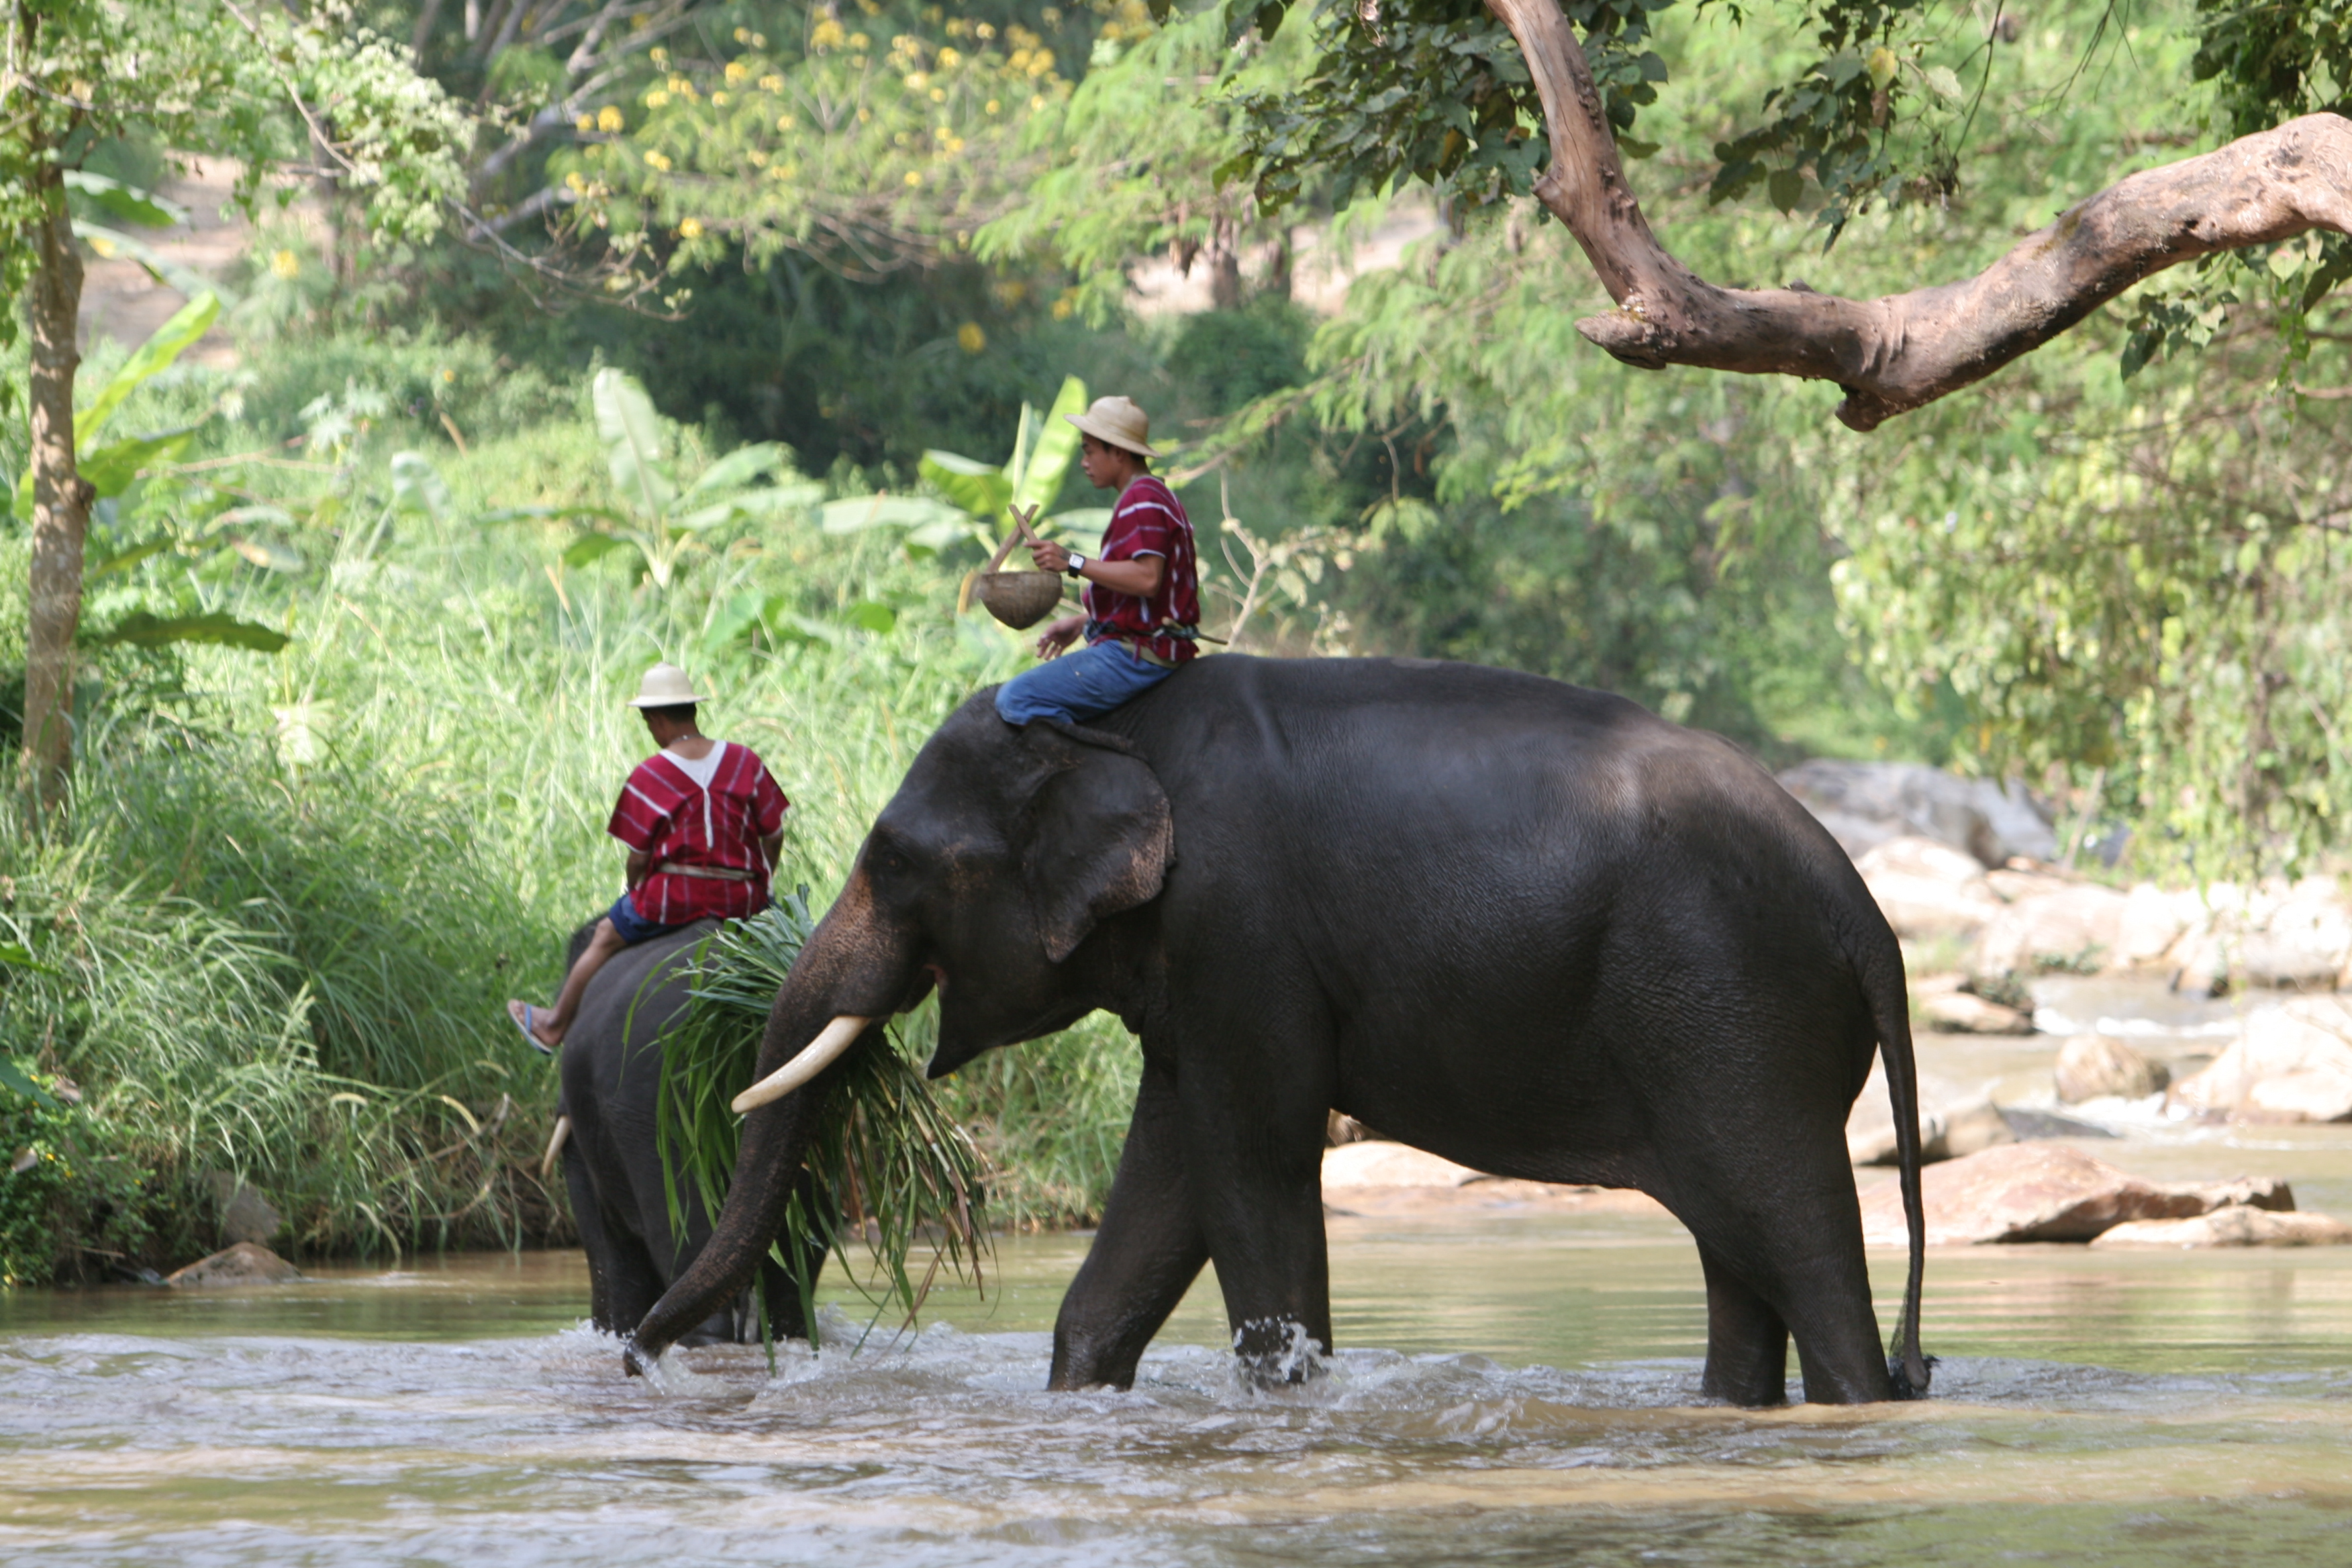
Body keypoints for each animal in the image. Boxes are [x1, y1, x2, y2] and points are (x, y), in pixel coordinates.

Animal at [622, 654, 1931, 1405]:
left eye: (893, 861)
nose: (637, 1358)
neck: (1118, 728)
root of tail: (1867, 917)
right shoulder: (1195, 969)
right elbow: (1171, 1172)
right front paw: (1084, 1395)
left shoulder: (1238, 928)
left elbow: (1248, 1160)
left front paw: (1283, 1398)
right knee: (1735, 1255)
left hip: (1736, 1014)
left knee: (1794, 1240)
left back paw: (1862, 1398)